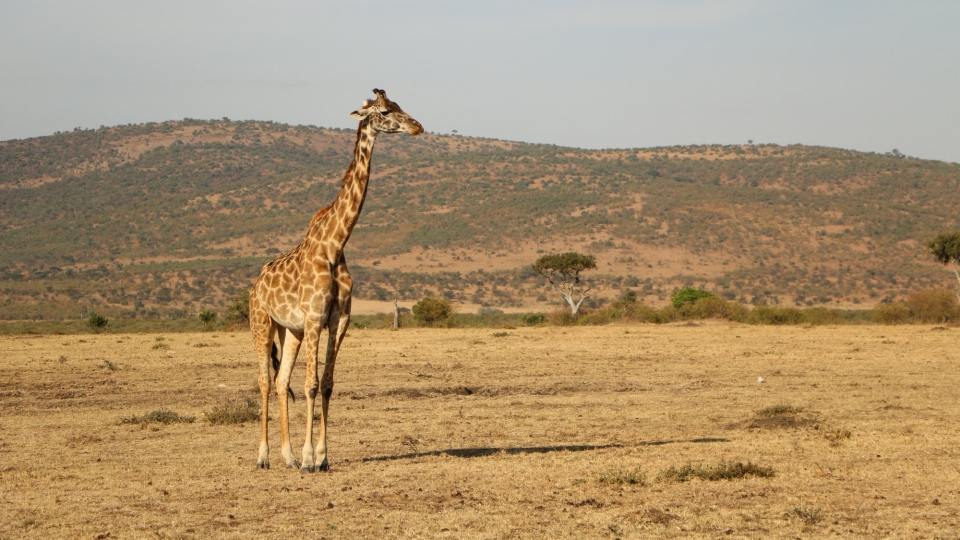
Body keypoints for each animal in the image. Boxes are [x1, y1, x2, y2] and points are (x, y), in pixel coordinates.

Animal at [249, 87, 422, 468]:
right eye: (385, 112)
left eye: (400, 105)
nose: (417, 127)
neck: (335, 244)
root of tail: (255, 284)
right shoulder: (315, 318)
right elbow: (311, 384)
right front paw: (309, 458)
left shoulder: (337, 320)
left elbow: (327, 384)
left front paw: (322, 457)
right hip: (262, 324)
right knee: (265, 381)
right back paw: (264, 456)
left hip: (291, 331)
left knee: (281, 381)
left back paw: (287, 457)